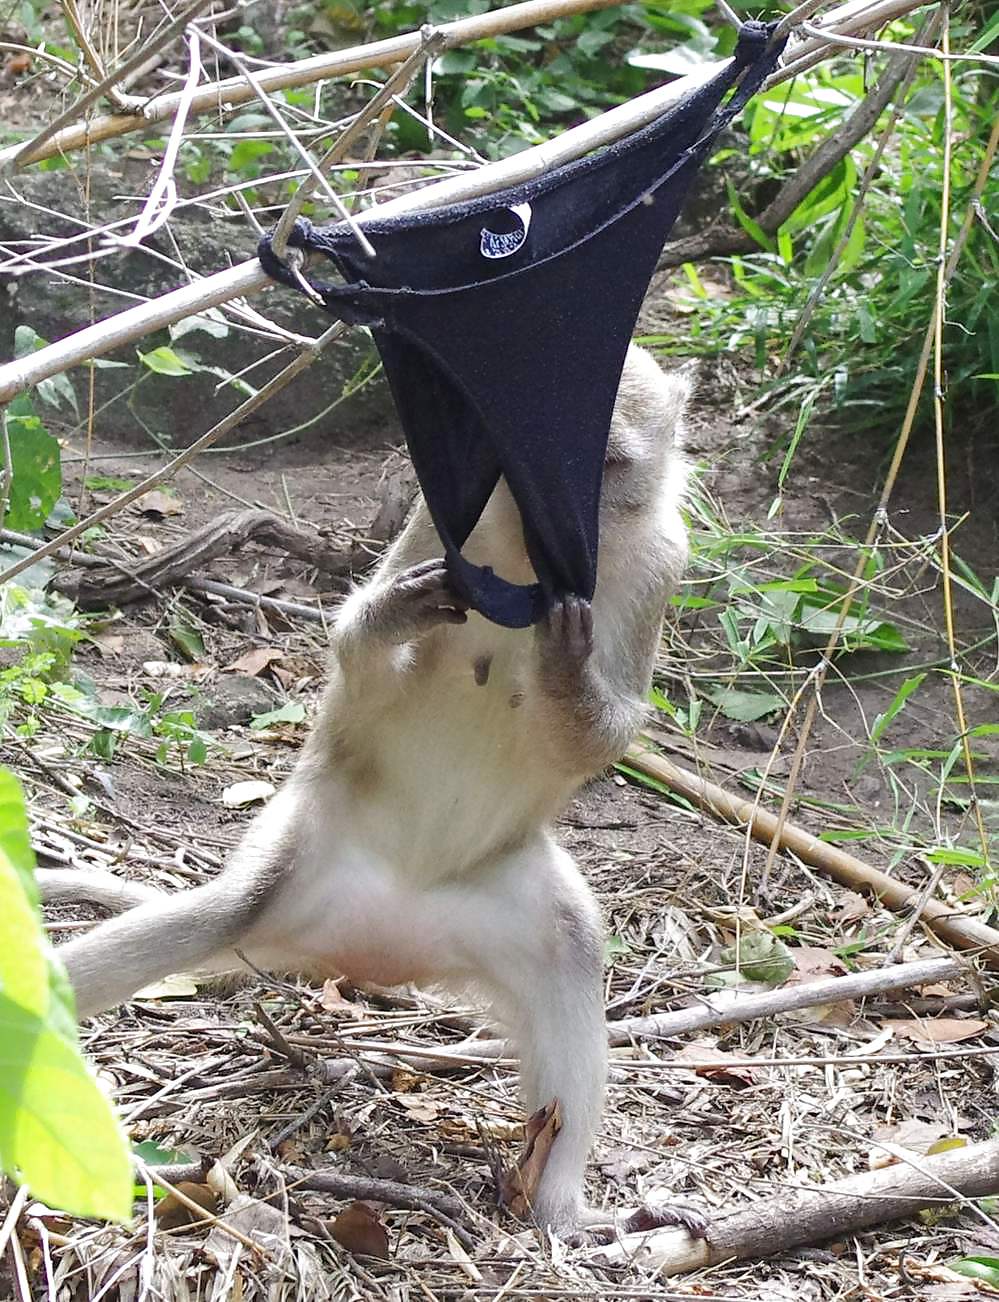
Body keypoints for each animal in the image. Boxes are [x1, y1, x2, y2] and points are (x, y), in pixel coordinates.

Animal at [38, 344, 693, 1238]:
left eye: (600, 469)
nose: (555, 538)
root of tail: (375, 940)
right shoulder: (434, 531)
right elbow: (358, 669)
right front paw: (390, 617)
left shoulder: (661, 565)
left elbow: (607, 731)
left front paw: (563, 671)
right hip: (301, 850)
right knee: (213, 916)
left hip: (498, 900)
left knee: (569, 951)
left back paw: (563, 1209)